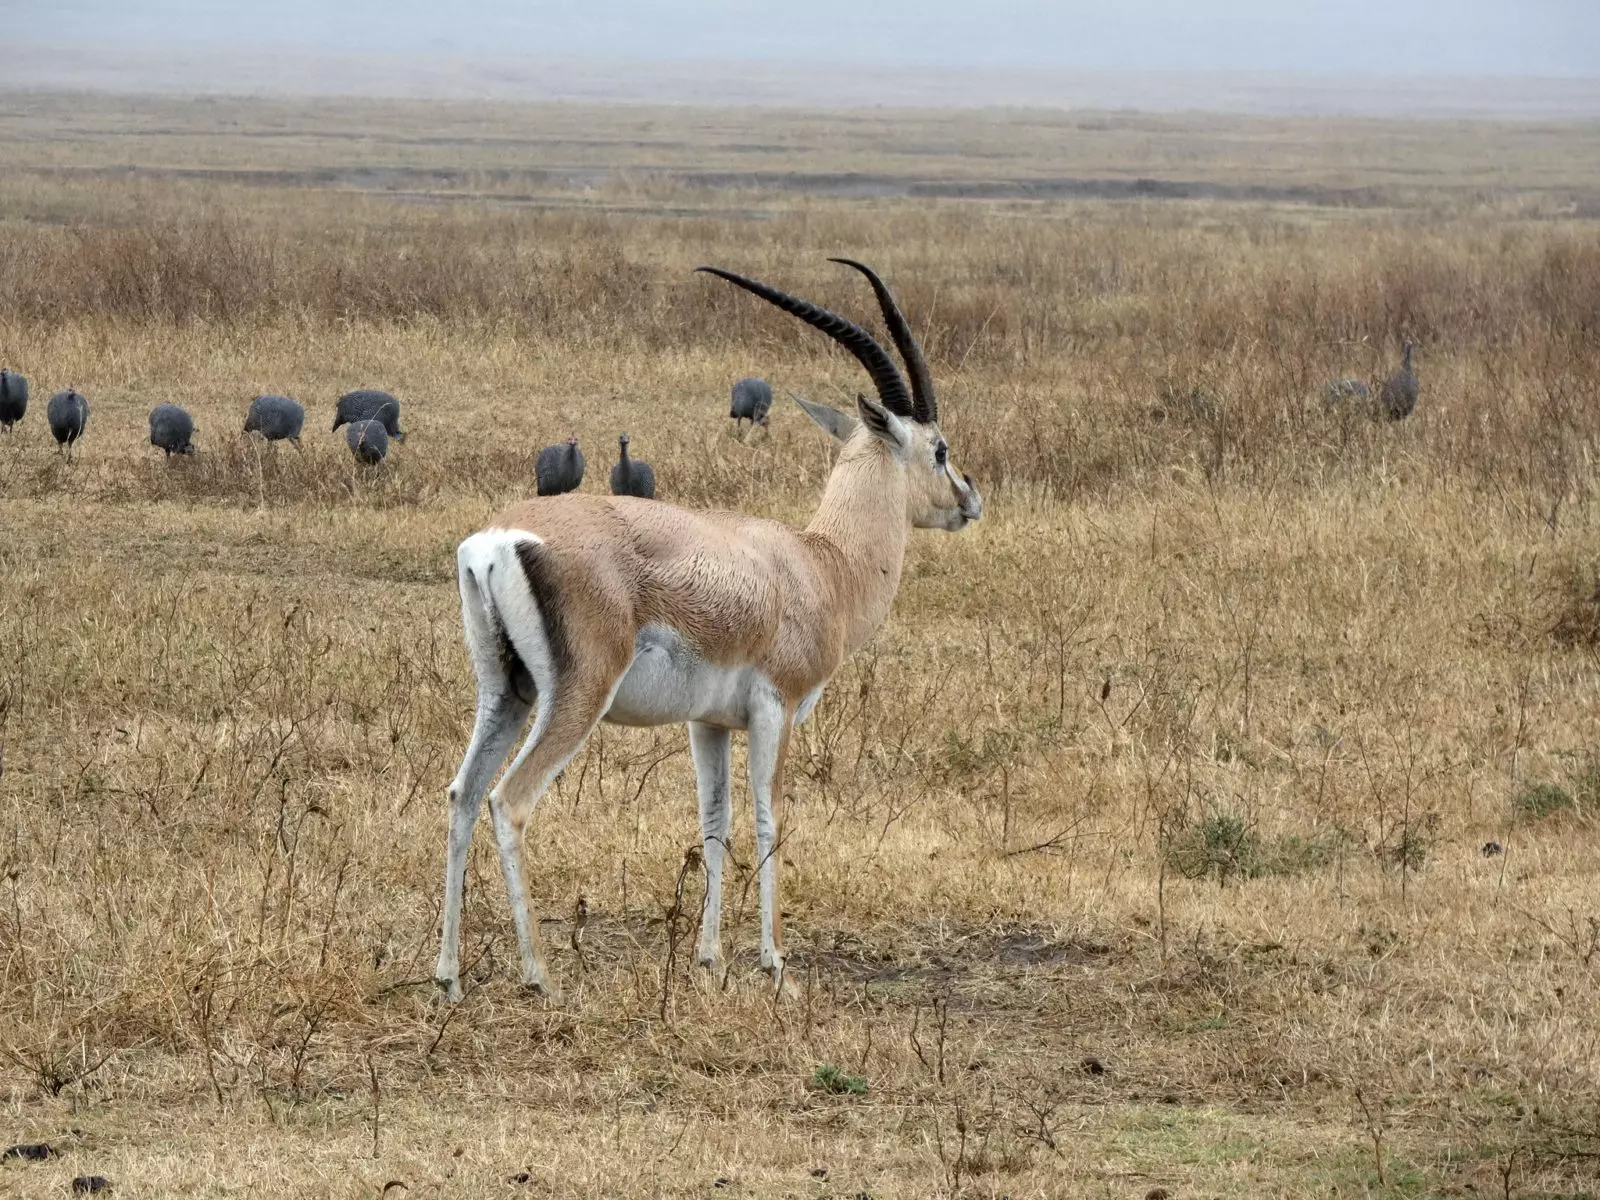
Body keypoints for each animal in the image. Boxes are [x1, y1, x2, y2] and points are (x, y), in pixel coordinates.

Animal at [438, 259, 985, 998]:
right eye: (940, 447)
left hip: (506, 692)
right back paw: (539, 975)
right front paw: (775, 963)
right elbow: (767, 817)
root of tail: (498, 539)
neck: (822, 565)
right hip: (576, 697)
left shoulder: (710, 722)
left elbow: (714, 822)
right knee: (509, 801)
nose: (969, 499)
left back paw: (446, 974)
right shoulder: (776, 707)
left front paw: (708, 958)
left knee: (463, 794)